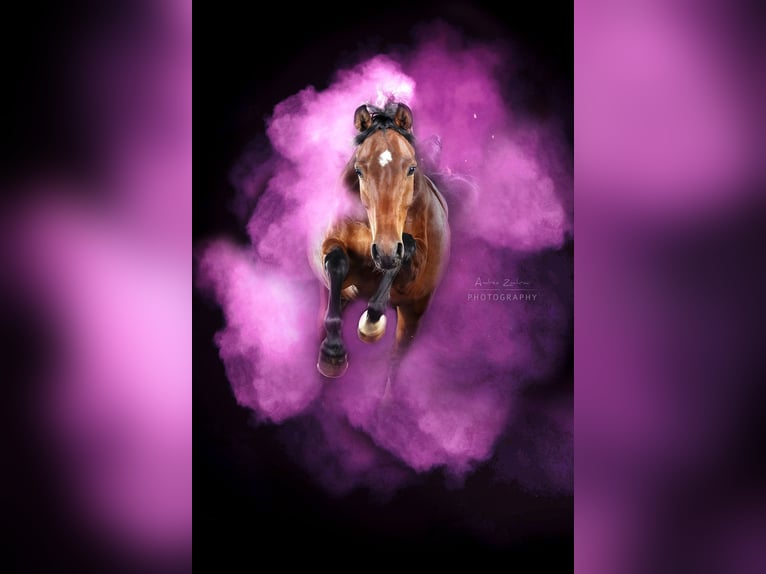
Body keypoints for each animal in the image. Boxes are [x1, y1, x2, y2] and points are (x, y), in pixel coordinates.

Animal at [315, 102, 450, 382]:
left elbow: (406, 249)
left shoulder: (411, 266)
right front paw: (332, 354)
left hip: (414, 312)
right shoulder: (333, 246)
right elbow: (337, 262)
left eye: (411, 168)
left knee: (395, 362)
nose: (384, 249)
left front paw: (372, 321)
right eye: (359, 170)